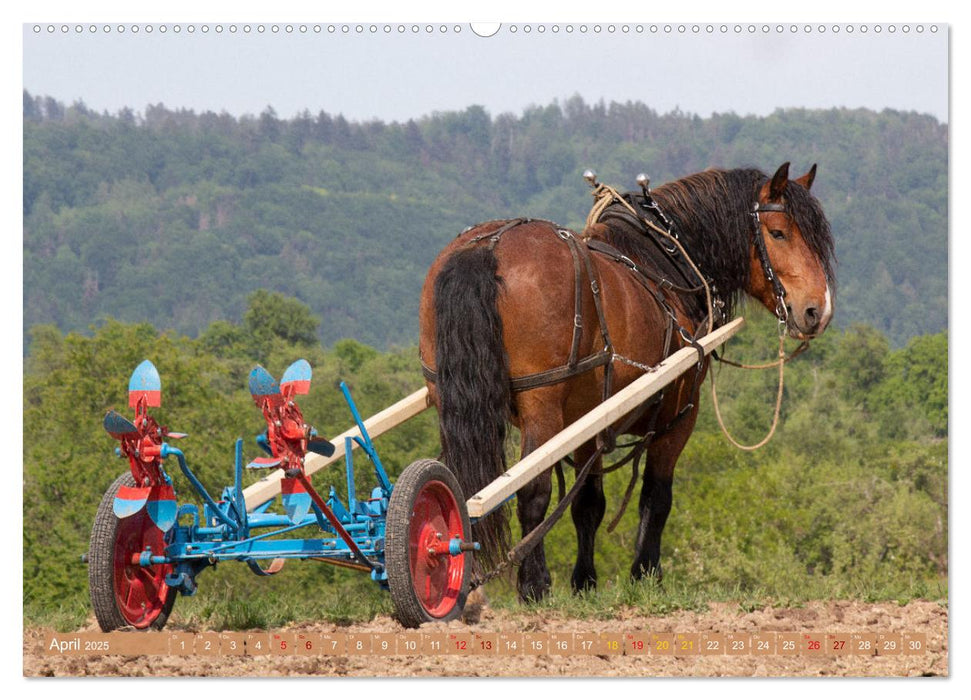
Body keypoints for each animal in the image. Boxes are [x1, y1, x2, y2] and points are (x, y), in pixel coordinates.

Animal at [418, 164, 836, 600]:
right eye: (778, 232)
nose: (817, 310)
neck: (666, 261)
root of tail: (488, 247)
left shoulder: (588, 423)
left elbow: (589, 503)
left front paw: (585, 581)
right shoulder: (678, 417)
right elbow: (657, 496)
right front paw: (646, 573)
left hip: (449, 397)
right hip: (541, 406)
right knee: (533, 492)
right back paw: (534, 584)